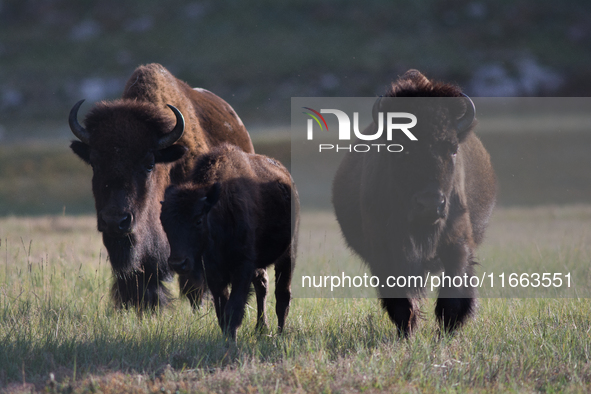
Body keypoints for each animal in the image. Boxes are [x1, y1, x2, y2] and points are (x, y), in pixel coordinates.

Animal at [161, 143, 300, 340]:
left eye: (198, 220)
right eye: (164, 221)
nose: (178, 263)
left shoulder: (242, 268)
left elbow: (233, 309)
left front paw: (232, 342)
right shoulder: (213, 273)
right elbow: (222, 312)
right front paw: (227, 340)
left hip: (288, 254)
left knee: (282, 295)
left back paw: (279, 334)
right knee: (262, 286)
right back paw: (261, 328)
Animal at [332, 70, 494, 336]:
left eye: (452, 149)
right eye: (400, 149)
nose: (430, 204)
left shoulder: (457, 240)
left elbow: (455, 286)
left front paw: (448, 328)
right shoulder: (385, 250)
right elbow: (400, 296)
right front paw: (408, 329)